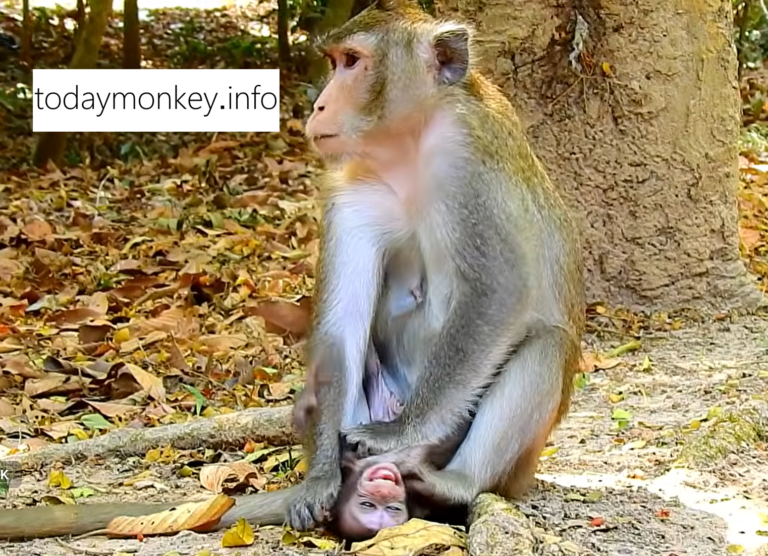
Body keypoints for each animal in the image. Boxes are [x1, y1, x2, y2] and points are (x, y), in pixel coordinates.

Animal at [0, 0, 584, 542]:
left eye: (353, 62)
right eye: (334, 61)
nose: (320, 102)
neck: (408, 146)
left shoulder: (470, 162)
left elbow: (499, 289)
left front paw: (398, 431)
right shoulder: (353, 185)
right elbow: (341, 328)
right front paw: (320, 479)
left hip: (505, 461)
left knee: (546, 344)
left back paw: (454, 482)